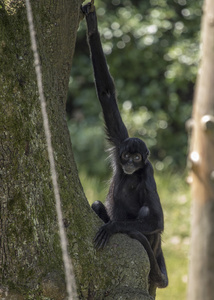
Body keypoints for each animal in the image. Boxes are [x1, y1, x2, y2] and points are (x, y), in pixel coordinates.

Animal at [81, 1, 168, 290]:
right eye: (126, 156)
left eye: (138, 159)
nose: (129, 164)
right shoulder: (120, 141)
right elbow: (106, 94)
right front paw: (92, 25)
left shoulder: (149, 173)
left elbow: (157, 219)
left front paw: (113, 227)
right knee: (98, 204)